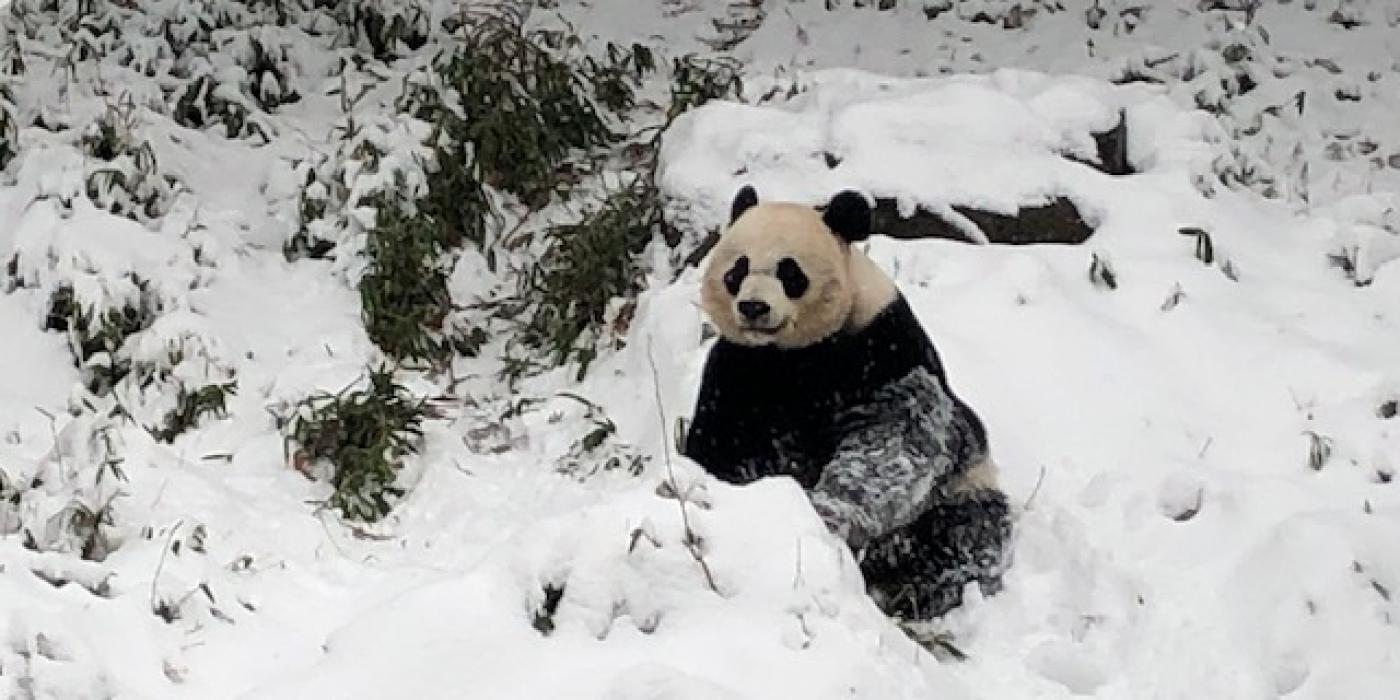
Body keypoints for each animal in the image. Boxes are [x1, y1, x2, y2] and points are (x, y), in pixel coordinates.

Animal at [683, 184, 1013, 618]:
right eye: (737, 270)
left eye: (790, 273)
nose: (754, 307)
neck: (789, 354)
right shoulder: (737, 368)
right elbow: (720, 442)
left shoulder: (881, 348)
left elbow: (898, 436)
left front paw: (824, 512)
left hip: (960, 491)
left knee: (967, 536)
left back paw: (917, 592)